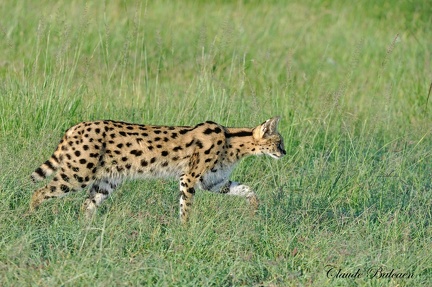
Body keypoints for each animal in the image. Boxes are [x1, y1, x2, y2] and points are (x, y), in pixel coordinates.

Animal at [31, 117, 286, 223]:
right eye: (279, 142)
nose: (285, 152)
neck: (231, 140)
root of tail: (75, 126)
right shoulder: (189, 177)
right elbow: (186, 208)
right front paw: (185, 231)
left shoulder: (213, 182)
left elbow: (247, 189)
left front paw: (254, 208)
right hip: (78, 174)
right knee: (39, 192)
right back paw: (31, 218)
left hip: (106, 182)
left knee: (86, 205)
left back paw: (85, 229)